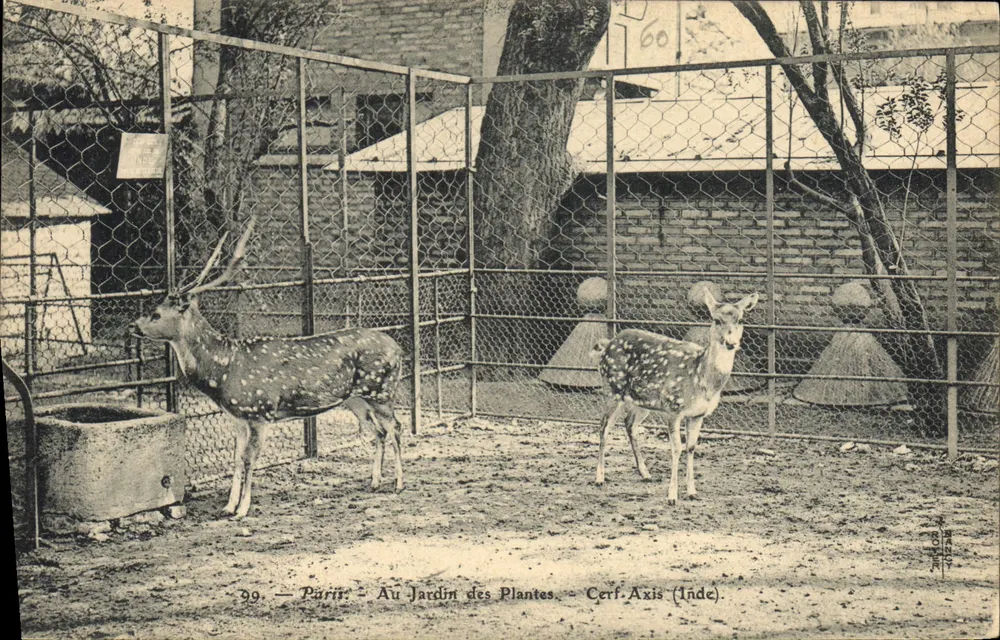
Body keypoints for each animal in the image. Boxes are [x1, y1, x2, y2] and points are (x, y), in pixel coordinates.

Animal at [131, 218, 406, 520]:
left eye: (156, 314)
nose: (134, 325)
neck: (223, 369)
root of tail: (399, 348)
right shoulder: (238, 418)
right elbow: (236, 460)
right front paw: (228, 506)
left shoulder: (259, 412)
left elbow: (250, 460)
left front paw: (242, 509)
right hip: (356, 398)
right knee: (379, 432)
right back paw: (375, 481)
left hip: (382, 390)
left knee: (396, 428)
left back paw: (398, 484)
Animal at [592, 290, 759, 505]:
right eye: (716, 319)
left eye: (740, 319)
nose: (731, 343)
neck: (701, 378)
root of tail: (607, 345)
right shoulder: (673, 408)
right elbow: (676, 448)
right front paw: (672, 496)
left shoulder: (697, 414)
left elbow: (691, 447)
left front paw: (692, 492)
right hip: (612, 388)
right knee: (603, 427)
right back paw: (600, 478)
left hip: (642, 400)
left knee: (629, 424)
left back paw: (645, 473)